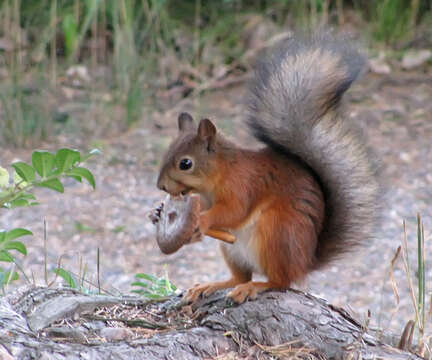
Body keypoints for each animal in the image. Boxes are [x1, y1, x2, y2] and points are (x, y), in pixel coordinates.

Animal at [155, 33, 378, 304]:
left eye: (185, 163)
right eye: (167, 152)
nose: (160, 186)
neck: (220, 174)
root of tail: (306, 261)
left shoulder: (243, 185)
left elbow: (233, 211)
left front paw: (203, 219)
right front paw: (159, 213)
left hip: (277, 234)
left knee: (279, 281)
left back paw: (255, 287)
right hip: (232, 250)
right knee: (240, 277)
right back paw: (212, 285)